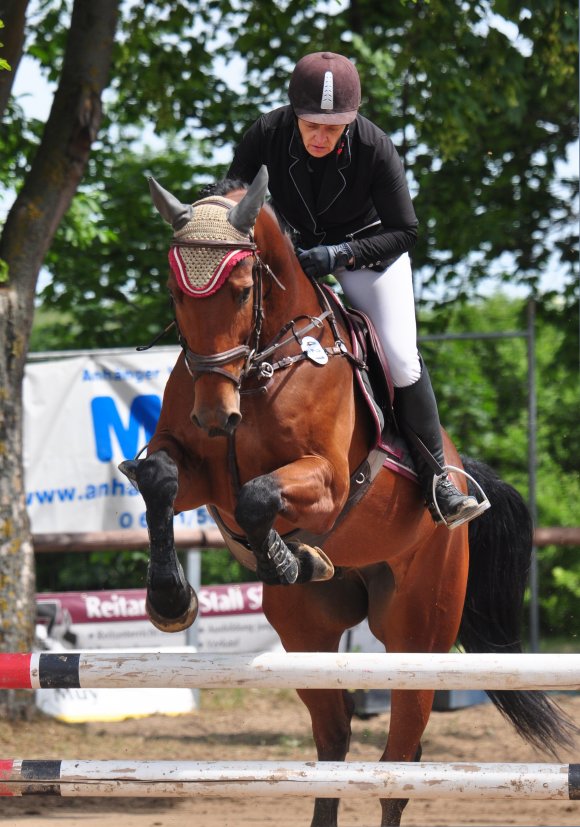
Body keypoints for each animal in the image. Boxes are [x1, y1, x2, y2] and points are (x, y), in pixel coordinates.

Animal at [121, 165, 576, 824]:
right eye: (178, 294)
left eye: (241, 289)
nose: (215, 417)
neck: (261, 364)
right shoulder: (199, 472)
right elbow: (161, 480)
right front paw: (170, 599)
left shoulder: (328, 482)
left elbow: (259, 494)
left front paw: (287, 558)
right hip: (307, 632)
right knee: (334, 738)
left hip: (417, 630)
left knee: (399, 759)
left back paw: (431, 504)